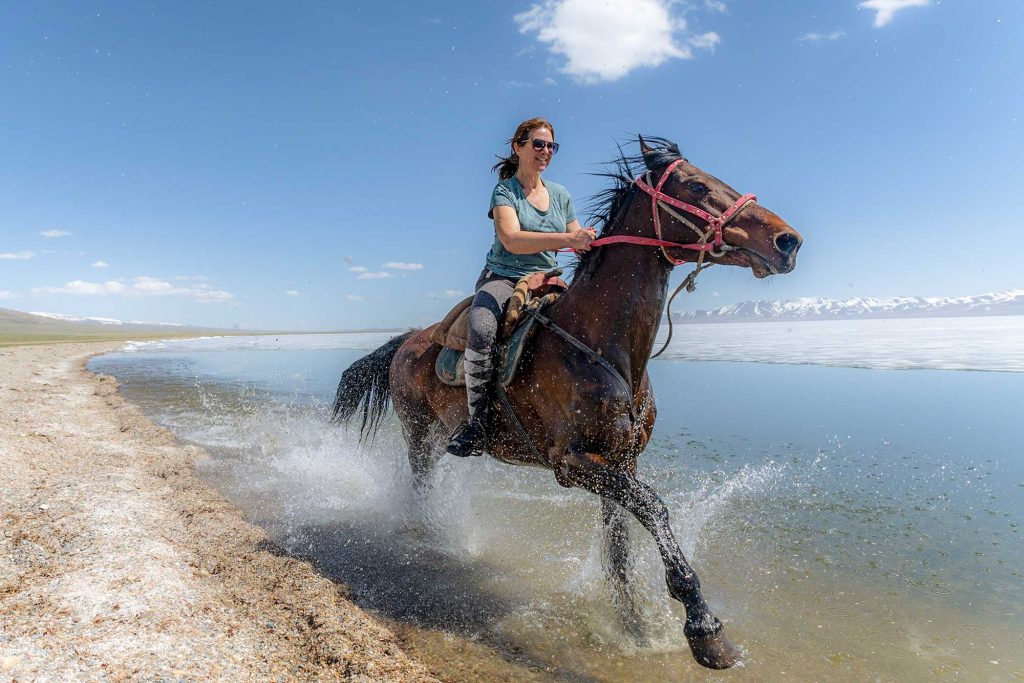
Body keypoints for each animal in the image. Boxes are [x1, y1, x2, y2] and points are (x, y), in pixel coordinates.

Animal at [331, 137, 803, 669]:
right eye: (698, 186)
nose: (788, 241)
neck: (602, 347)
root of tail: (408, 339)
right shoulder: (572, 463)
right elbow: (655, 509)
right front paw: (705, 630)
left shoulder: (622, 463)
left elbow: (619, 547)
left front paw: (633, 625)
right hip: (416, 428)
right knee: (418, 482)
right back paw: (428, 537)